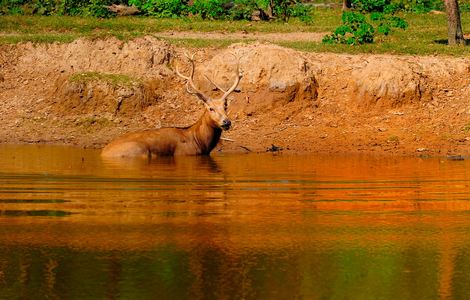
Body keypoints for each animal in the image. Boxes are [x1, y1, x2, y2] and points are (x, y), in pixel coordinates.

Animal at [102, 53, 242, 159]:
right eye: (210, 108)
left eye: (225, 106)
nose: (226, 122)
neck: (199, 141)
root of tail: (102, 154)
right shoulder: (184, 154)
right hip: (139, 151)